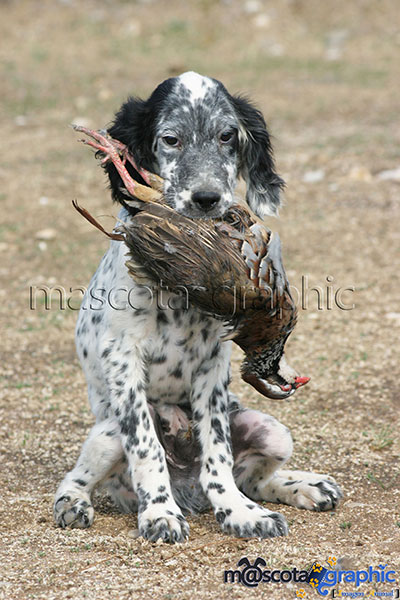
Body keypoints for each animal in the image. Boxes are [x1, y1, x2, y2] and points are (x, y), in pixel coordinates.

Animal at [53, 72, 342, 540]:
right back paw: (75, 503)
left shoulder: (213, 363)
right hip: (107, 433)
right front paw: (159, 513)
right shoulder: (122, 357)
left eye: (228, 136)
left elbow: (218, 453)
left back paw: (303, 485)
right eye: (170, 139)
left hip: (272, 430)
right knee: (78, 475)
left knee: (255, 478)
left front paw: (239, 512)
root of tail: (189, 490)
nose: (208, 199)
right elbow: (147, 447)